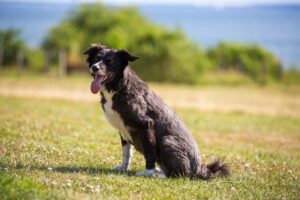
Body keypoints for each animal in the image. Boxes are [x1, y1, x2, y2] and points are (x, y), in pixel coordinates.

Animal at [83, 44, 229, 179]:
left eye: (109, 61)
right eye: (97, 58)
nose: (94, 67)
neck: (119, 86)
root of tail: (199, 169)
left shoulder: (146, 124)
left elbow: (149, 152)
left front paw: (148, 171)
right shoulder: (122, 129)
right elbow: (126, 152)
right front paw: (123, 168)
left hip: (167, 141)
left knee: (178, 175)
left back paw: (158, 174)